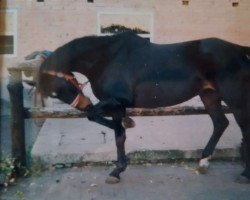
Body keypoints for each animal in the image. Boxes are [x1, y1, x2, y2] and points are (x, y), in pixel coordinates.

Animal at [37, 32, 250, 184]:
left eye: (56, 90)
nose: (83, 104)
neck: (106, 58)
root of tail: (238, 50)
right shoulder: (117, 106)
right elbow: (118, 137)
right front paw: (117, 171)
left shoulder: (117, 101)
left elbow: (94, 115)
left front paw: (128, 124)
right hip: (209, 95)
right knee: (220, 123)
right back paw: (204, 162)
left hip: (236, 99)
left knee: (243, 129)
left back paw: (244, 174)